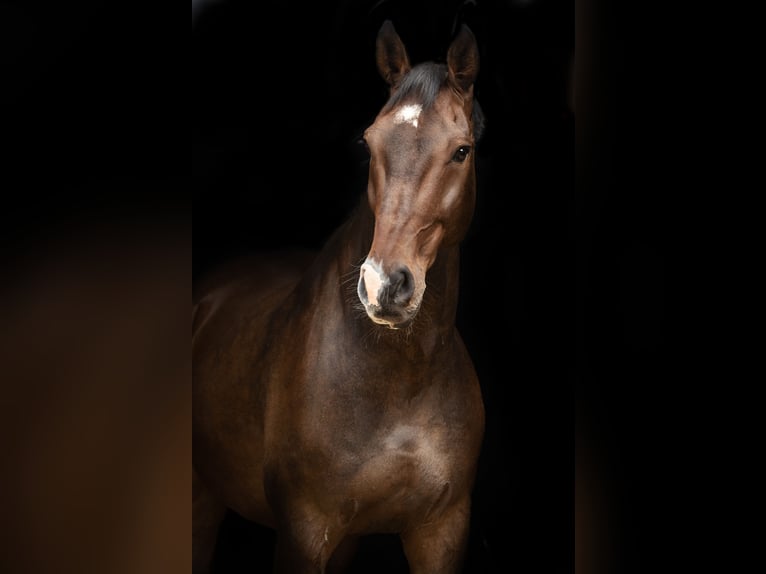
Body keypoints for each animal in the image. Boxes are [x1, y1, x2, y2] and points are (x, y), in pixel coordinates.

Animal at [194, 19, 486, 574]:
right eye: (369, 143)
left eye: (461, 151)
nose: (385, 285)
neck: (399, 384)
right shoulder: (303, 535)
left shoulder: (443, 531)